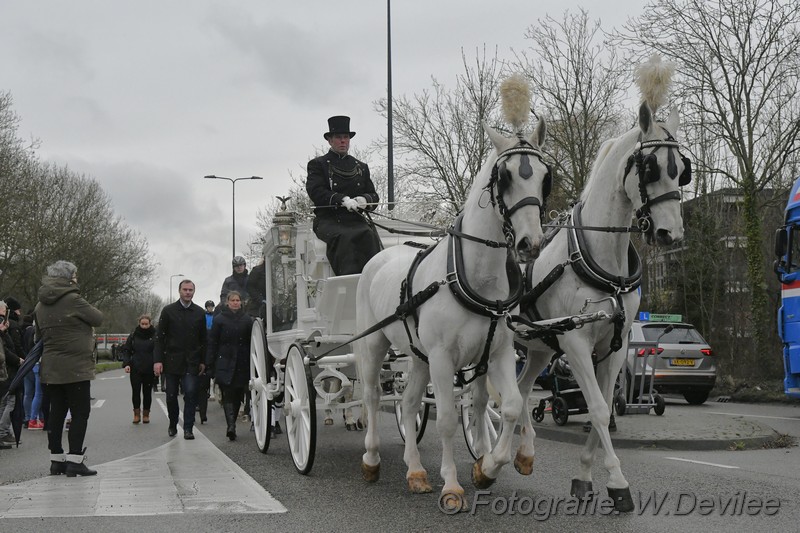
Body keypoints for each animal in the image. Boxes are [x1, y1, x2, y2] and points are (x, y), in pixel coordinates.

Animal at [354, 75, 552, 512]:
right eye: (504, 177)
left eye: (545, 176)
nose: (530, 243)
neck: (476, 277)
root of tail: (380, 255)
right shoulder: (444, 358)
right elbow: (445, 418)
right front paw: (452, 485)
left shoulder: (496, 354)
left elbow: (509, 406)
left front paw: (487, 468)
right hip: (375, 346)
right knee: (374, 397)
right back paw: (372, 459)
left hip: (418, 356)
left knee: (410, 403)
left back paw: (415, 471)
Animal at [512, 55, 692, 512]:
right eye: (649, 167)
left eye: (682, 171)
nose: (671, 234)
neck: (597, 259)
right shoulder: (575, 342)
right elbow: (593, 406)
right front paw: (618, 481)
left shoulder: (614, 343)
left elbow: (607, 405)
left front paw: (584, 478)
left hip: (539, 348)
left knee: (518, 392)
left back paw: (516, 450)